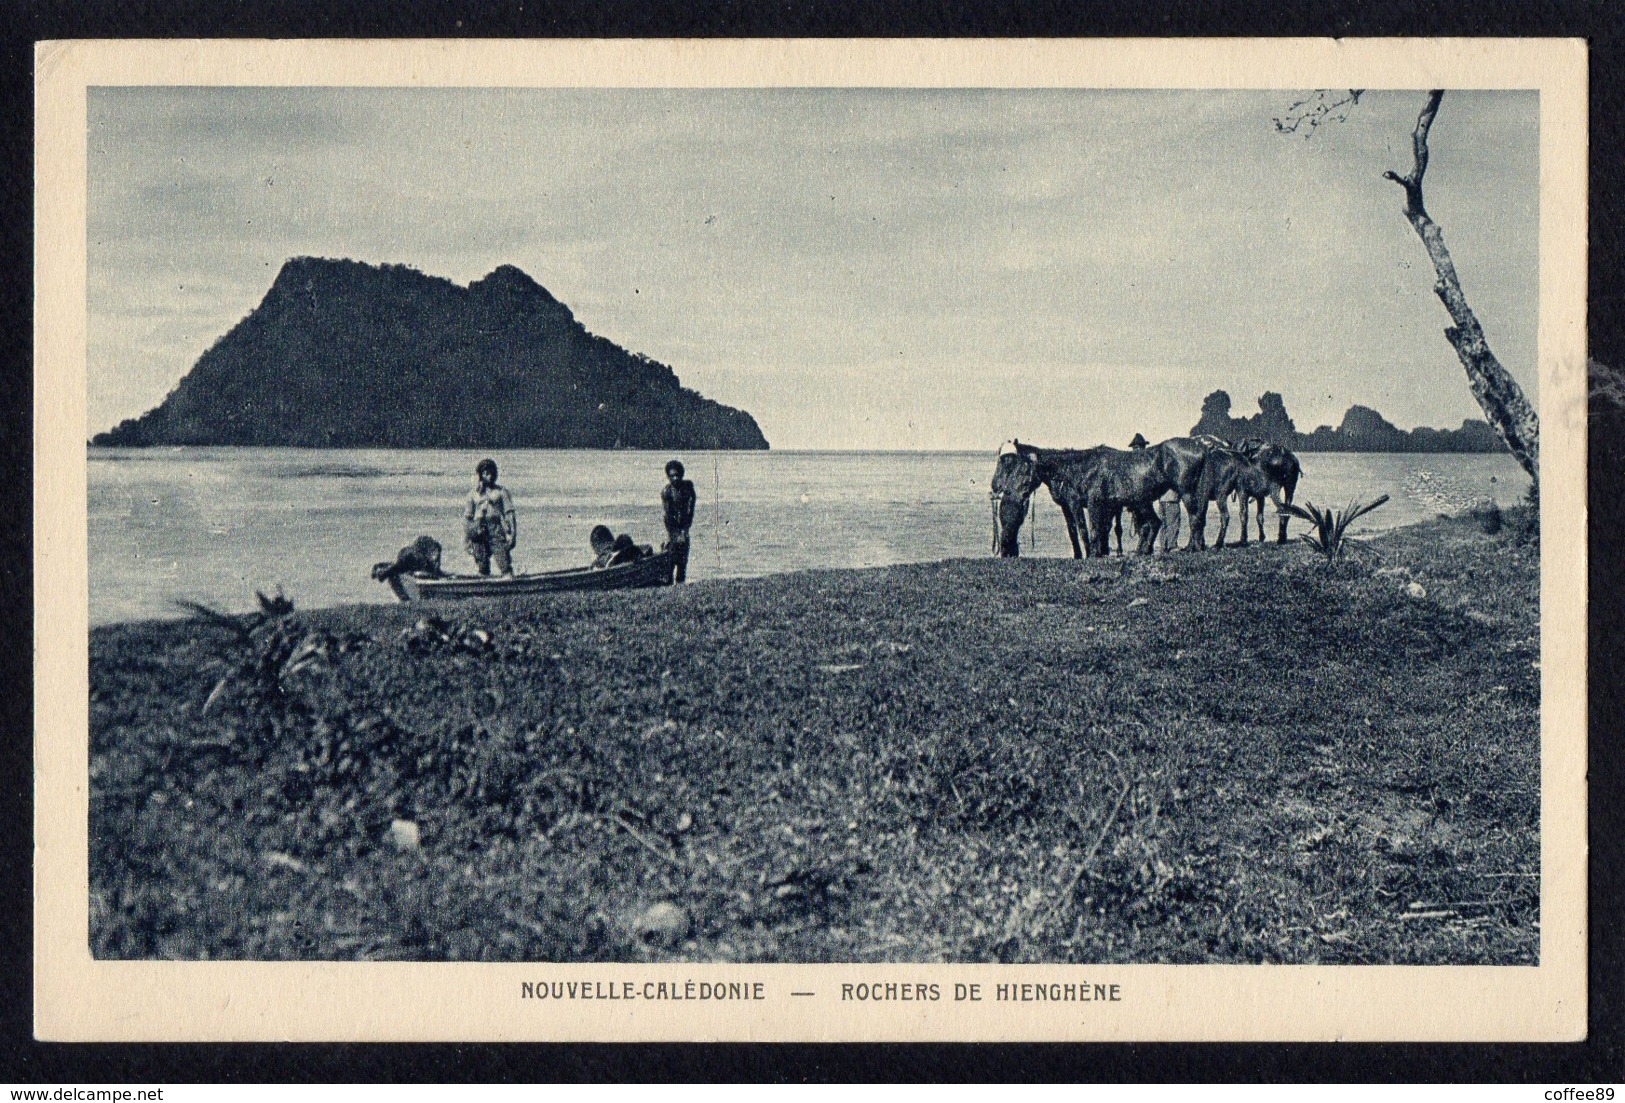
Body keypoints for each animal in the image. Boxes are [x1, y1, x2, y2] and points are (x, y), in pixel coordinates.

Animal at [981, 438, 1215, 555]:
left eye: (1018, 467)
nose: (998, 487)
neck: (1082, 467)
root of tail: (1203, 448)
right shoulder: (1099, 507)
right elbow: (1092, 532)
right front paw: (1095, 553)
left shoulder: (1091, 505)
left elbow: (1091, 532)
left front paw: (1093, 554)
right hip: (1142, 502)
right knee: (1157, 523)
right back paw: (1144, 550)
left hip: (1186, 492)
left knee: (1195, 518)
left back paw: (1193, 548)